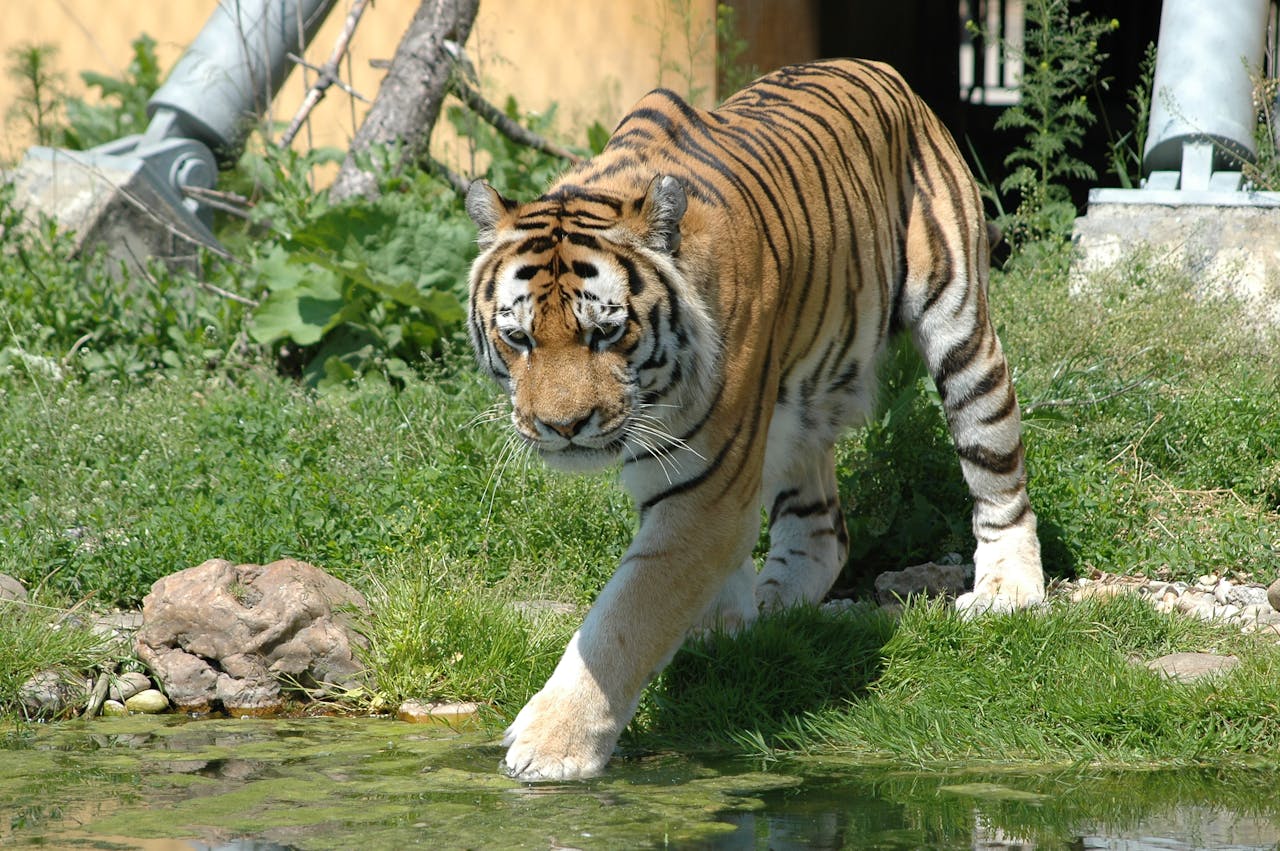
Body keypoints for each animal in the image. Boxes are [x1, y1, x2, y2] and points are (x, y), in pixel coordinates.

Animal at [464, 58, 1044, 781]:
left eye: (607, 333)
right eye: (518, 338)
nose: (562, 426)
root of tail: (882, 70)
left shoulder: (705, 492)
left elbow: (623, 619)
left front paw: (549, 745)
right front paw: (718, 621)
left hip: (961, 328)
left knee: (995, 463)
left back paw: (1008, 590)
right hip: (797, 401)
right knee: (823, 530)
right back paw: (763, 609)